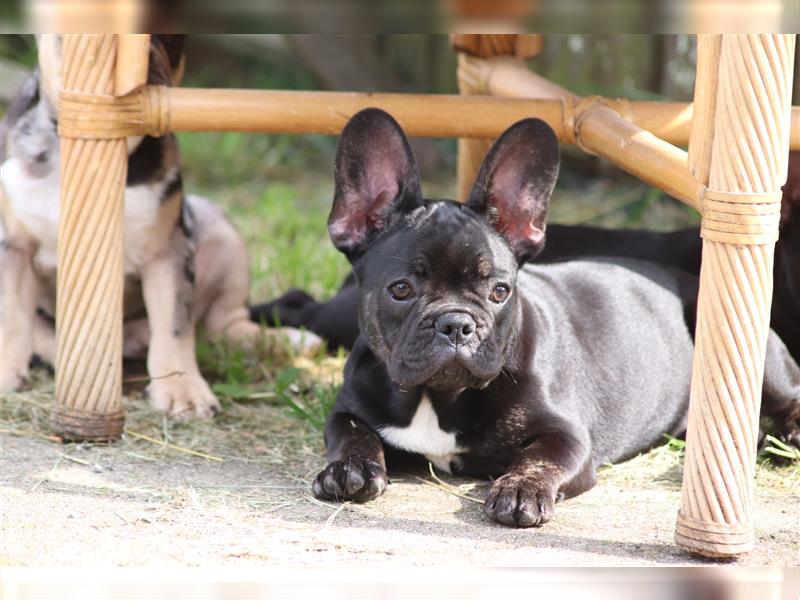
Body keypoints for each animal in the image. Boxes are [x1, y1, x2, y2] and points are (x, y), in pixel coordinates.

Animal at [304, 110, 796, 528]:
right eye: (401, 289)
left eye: (500, 291)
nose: (456, 323)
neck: (438, 397)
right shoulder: (347, 410)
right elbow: (351, 434)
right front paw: (348, 468)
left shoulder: (568, 437)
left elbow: (538, 460)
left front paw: (521, 490)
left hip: (750, 352)